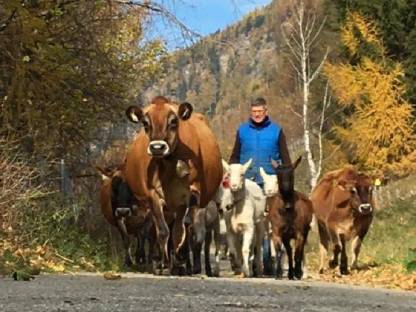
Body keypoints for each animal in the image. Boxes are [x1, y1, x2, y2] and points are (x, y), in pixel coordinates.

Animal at [123, 95, 223, 276]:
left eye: (173, 121)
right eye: (145, 123)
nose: (157, 147)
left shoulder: (190, 194)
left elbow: (183, 229)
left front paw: (179, 259)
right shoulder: (153, 196)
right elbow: (163, 231)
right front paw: (163, 262)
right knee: (156, 231)